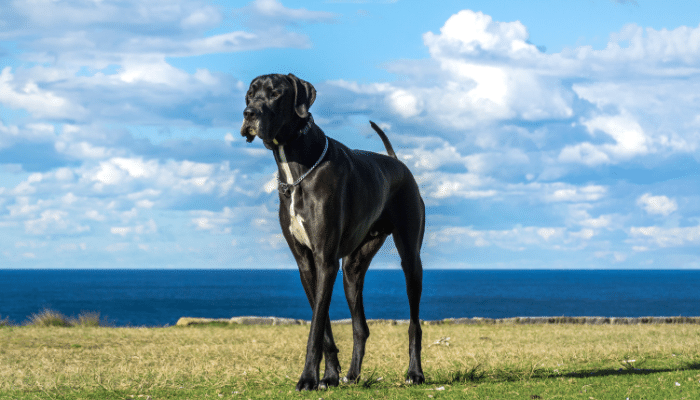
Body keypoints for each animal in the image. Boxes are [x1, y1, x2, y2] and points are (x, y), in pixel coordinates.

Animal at [241, 73, 426, 390]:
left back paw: (415, 373)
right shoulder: (307, 263)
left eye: (276, 93)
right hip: (352, 269)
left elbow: (315, 328)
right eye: (249, 95)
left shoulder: (325, 260)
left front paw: (307, 378)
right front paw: (328, 376)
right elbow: (323, 325)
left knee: (415, 324)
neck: (297, 168)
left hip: (411, 260)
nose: (249, 114)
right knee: (360, 327)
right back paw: (352, 375)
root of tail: (396, 161)